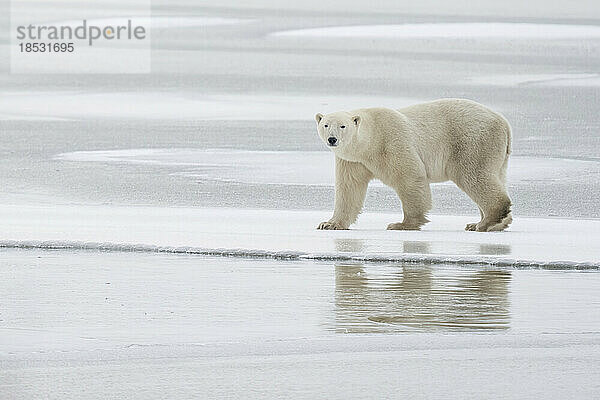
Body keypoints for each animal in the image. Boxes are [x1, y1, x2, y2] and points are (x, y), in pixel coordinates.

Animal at [314, 97, 510, 233]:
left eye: (342, 126)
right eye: (326, 125)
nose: (332, 139)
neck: (370, 142)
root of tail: (503, 122)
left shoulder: (392, 142)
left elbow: (409, 177)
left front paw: (401, 224)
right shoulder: (353, 161)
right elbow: (349, 188)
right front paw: (329, 224)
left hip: (472, 142)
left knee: (474, 176)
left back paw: (486, 222)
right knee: (494, 177)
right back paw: (486, 223)